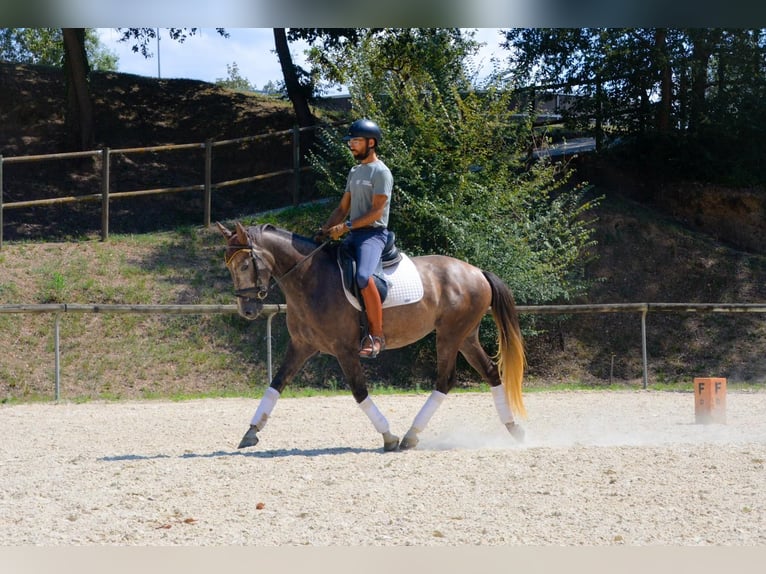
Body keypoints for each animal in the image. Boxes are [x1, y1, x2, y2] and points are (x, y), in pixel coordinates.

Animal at [217, 221, 527, 452]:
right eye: (229, 267)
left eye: (244, 265)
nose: (247, 310)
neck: (310, 280)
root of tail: (477, 272)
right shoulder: (301, 346)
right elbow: (276, 384)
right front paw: (251, 432)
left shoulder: (344, 350)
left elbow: (359, 391)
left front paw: (388, 437)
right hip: (466, 337)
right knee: (490, 372)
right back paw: (514, 429)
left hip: (450, 335)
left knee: (445, 380)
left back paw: (410, 435)